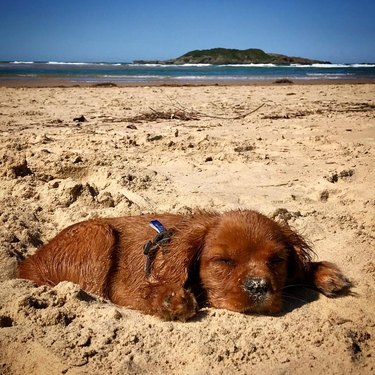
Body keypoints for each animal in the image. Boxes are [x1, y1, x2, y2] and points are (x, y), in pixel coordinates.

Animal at [18, 210, 352, 322]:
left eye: (276, 261)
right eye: (223, 261)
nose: (259, 287)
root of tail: (27, 263)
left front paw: (323, 273)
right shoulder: (125, 285)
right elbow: (145, 291)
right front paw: (167, 298)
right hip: (98, 232)